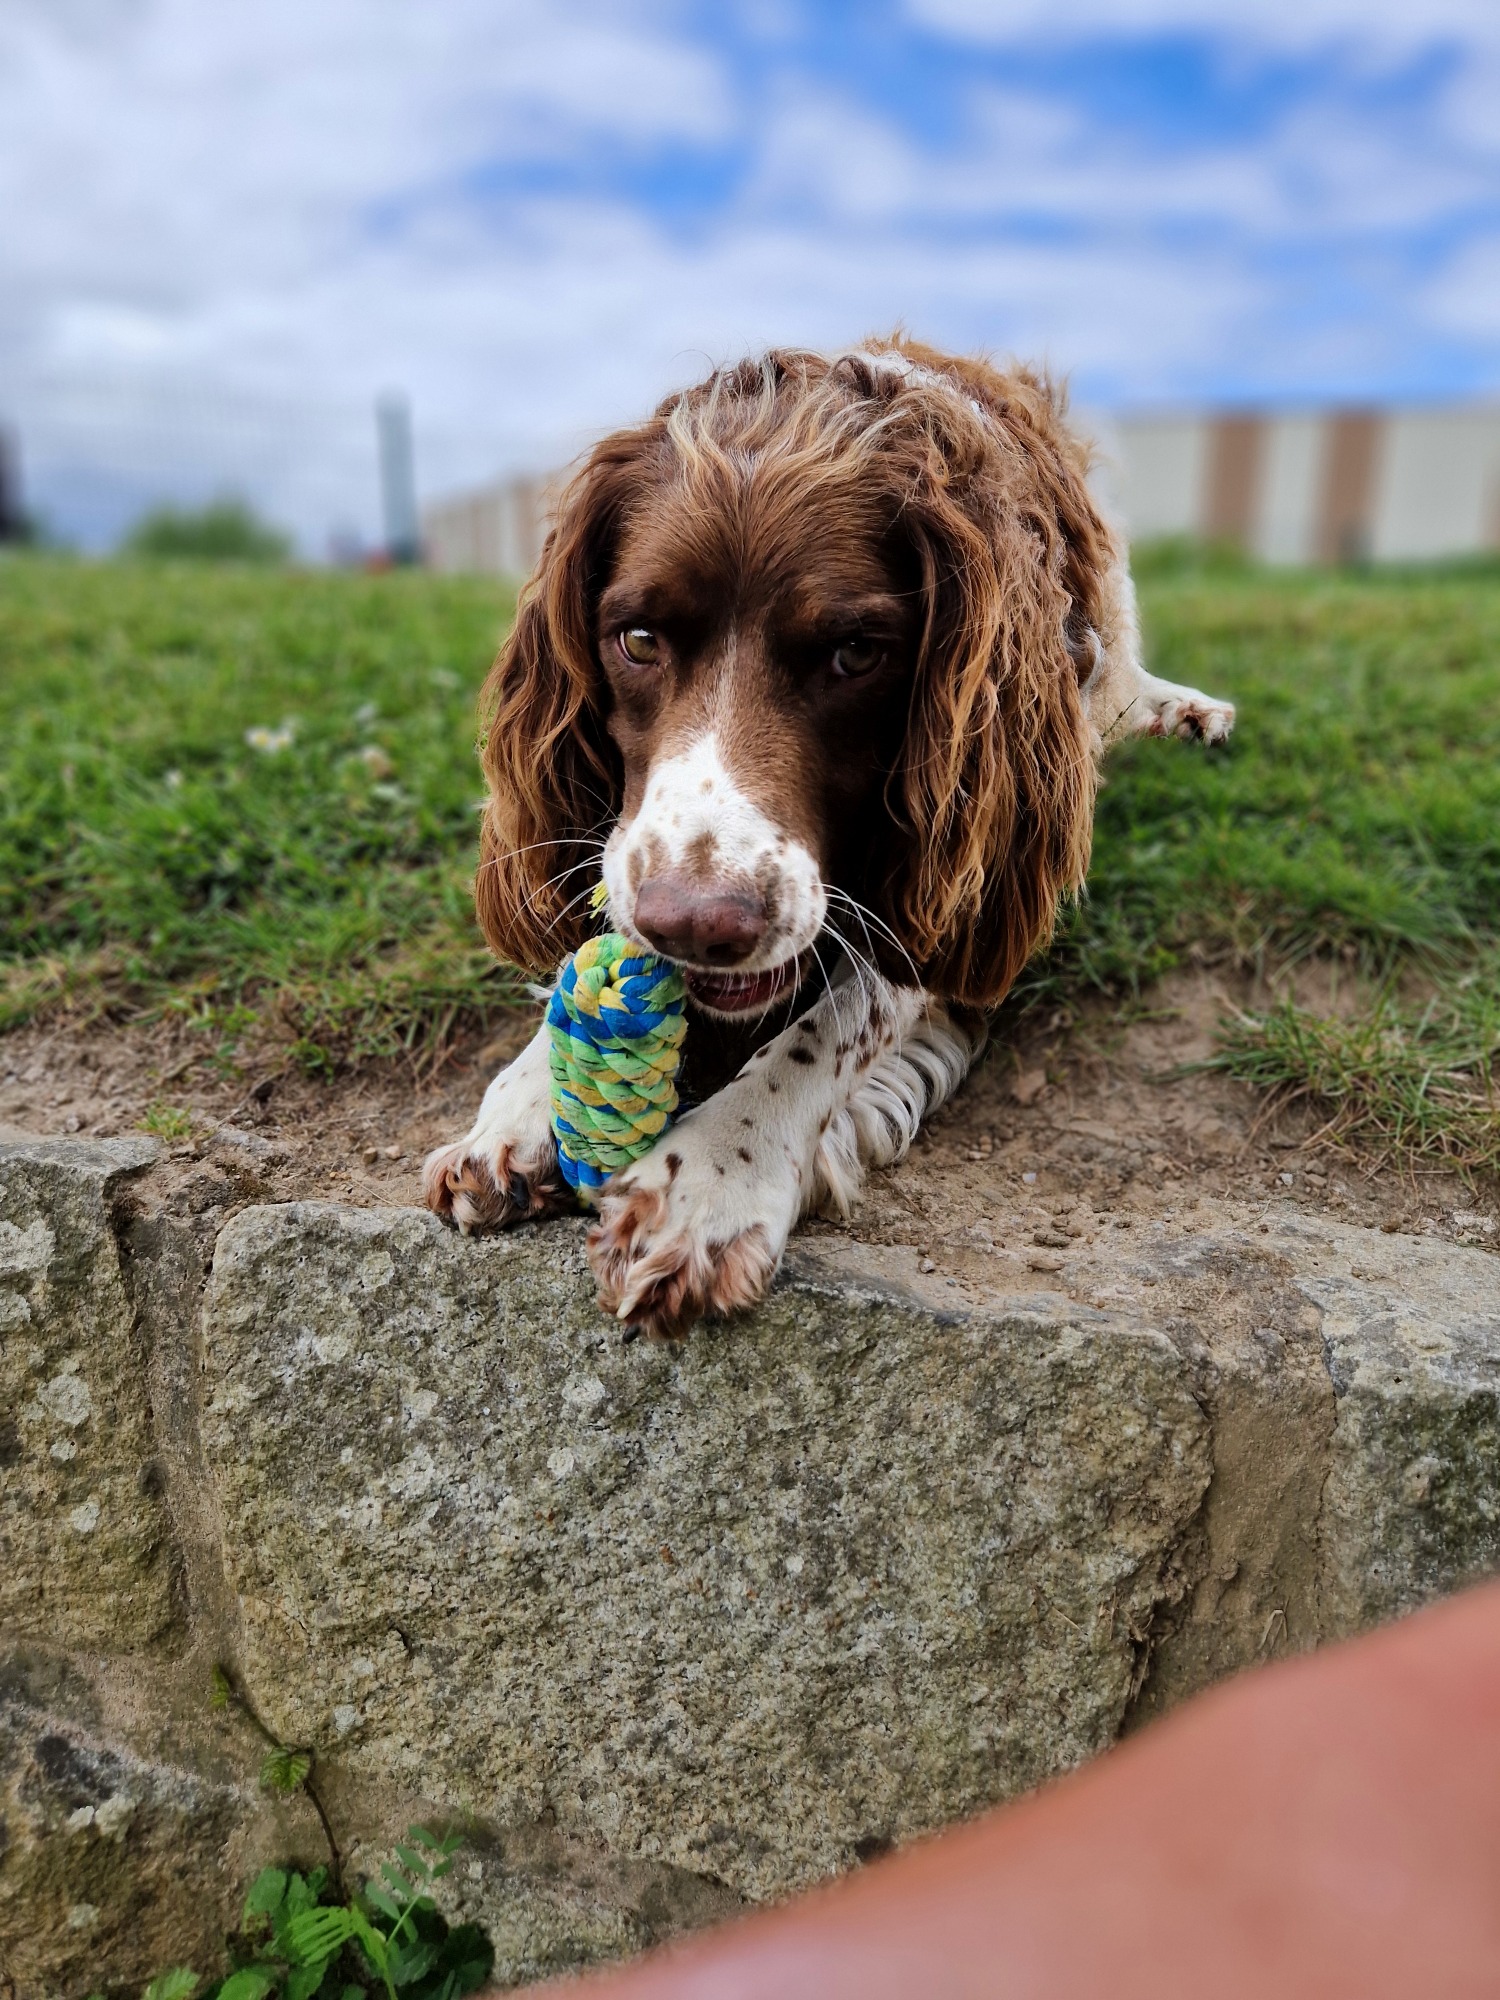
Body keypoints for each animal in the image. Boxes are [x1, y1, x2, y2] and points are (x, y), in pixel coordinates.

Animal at [423, 337, 1234, 1338]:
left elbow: (836, 1028)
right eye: (638, 639)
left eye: (855, 654)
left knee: (1122, 679)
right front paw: (519, 1108)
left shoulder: (965, 880)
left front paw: (706, 1182)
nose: (695, 926)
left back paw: (1186, 710)